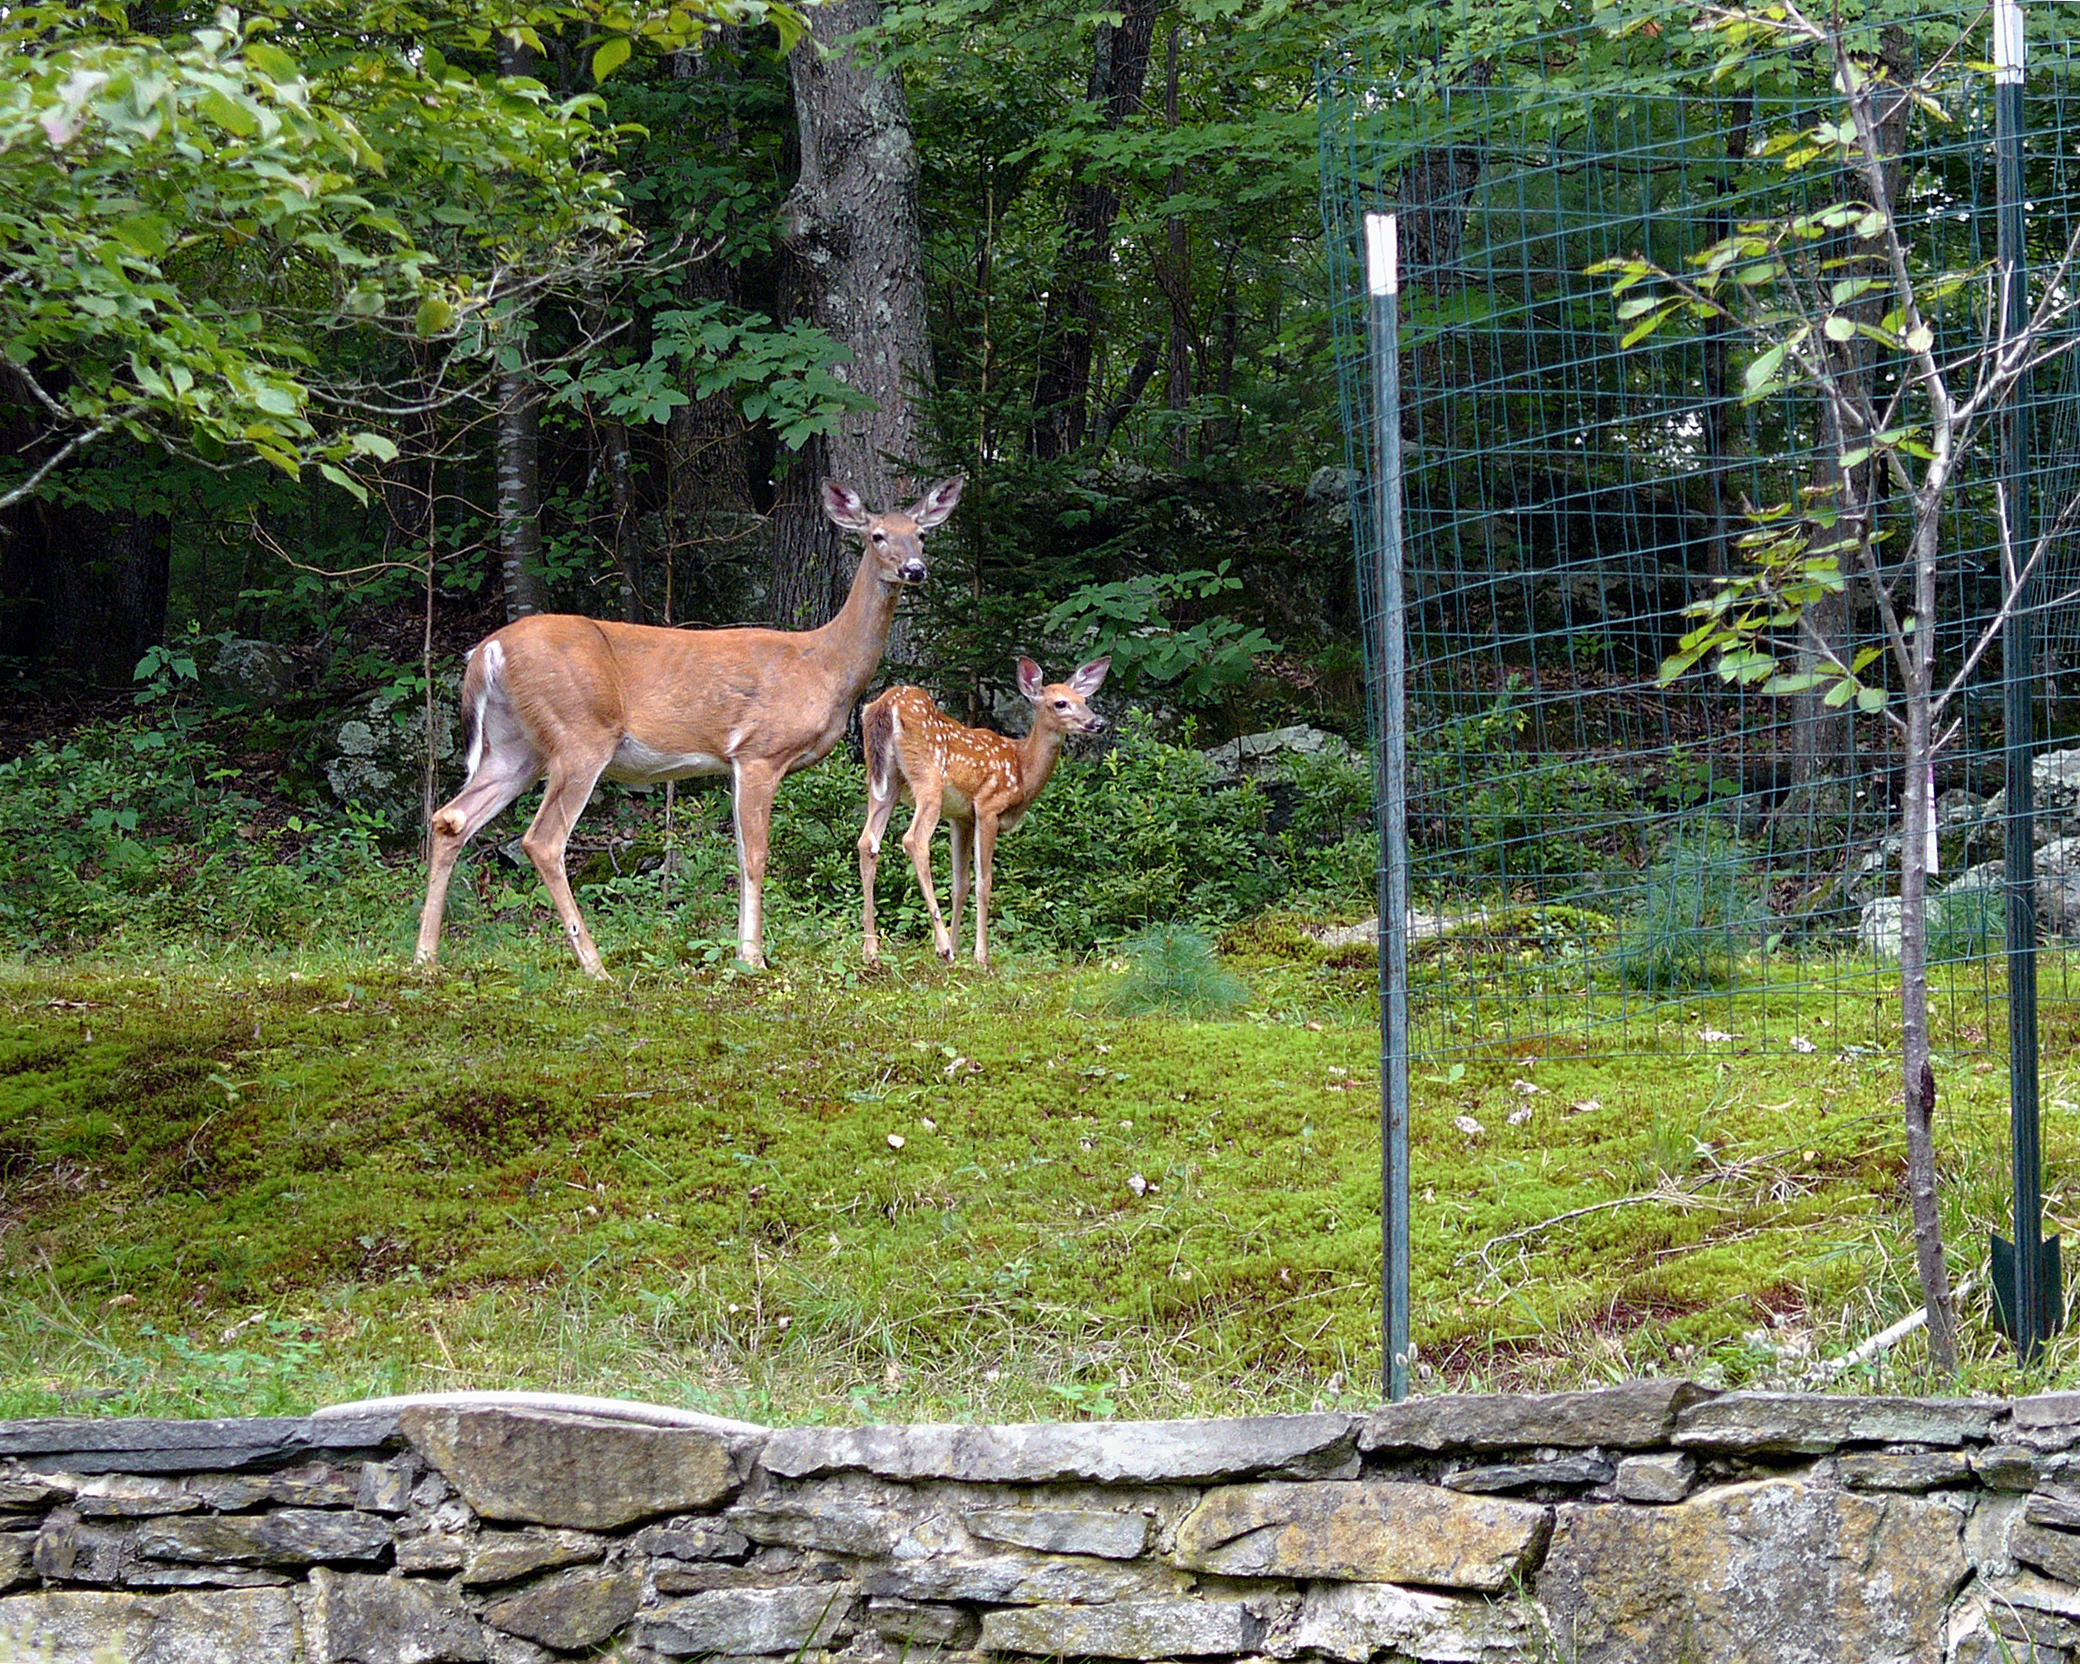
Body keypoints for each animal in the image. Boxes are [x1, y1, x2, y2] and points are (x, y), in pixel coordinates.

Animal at [414, 475, 964, 980]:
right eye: (877, 535)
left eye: (921, 534)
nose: (915, 569)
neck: (823, 664)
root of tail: (486, 651)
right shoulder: (760, 751)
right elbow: (757, 855)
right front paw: (754, 958)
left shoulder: (734, 764)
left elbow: (739, 854)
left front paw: (744, 951)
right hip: (580, 734)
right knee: (543, 840)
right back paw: (595, 966)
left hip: (515, 747)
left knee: (450, 819)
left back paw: (425, 959)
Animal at [858, 656, 1111, 969]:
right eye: (1060, 703)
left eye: (1084, 699)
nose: (1098, 722)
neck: (1021, 768)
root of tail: (885, 705)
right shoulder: (988, 807)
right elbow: (984, 883)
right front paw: (980, 956)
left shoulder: (961, 817)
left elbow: (960, 884)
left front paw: (959, 947)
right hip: (928, 780)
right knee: (914, 840)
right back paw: (942, 947)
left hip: (883, 781)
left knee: (868, 842)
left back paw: (872, 951)